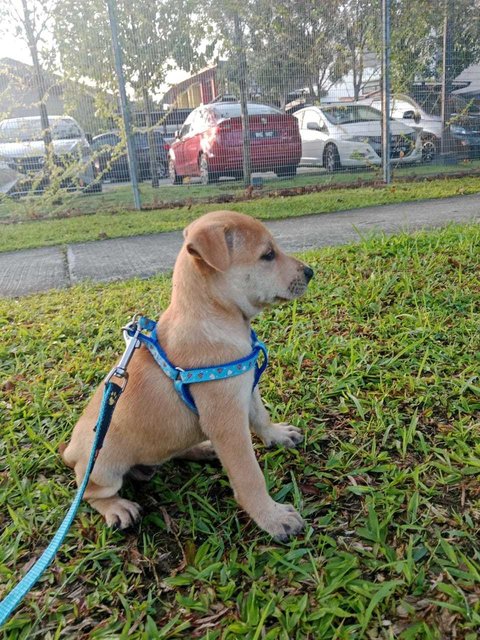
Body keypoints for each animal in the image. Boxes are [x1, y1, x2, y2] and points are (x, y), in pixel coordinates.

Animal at [62, 210, 314, 540]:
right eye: (267, 255)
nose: (310, 272)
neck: (215, 315)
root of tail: (70, 452)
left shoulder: (246, 387)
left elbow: (261, 416)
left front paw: (277, 435)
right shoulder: (227, 423)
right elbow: (249, 475)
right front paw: (272, 517)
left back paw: (201, 449)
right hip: (103, 465)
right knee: (90, 491)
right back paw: (117, 508)